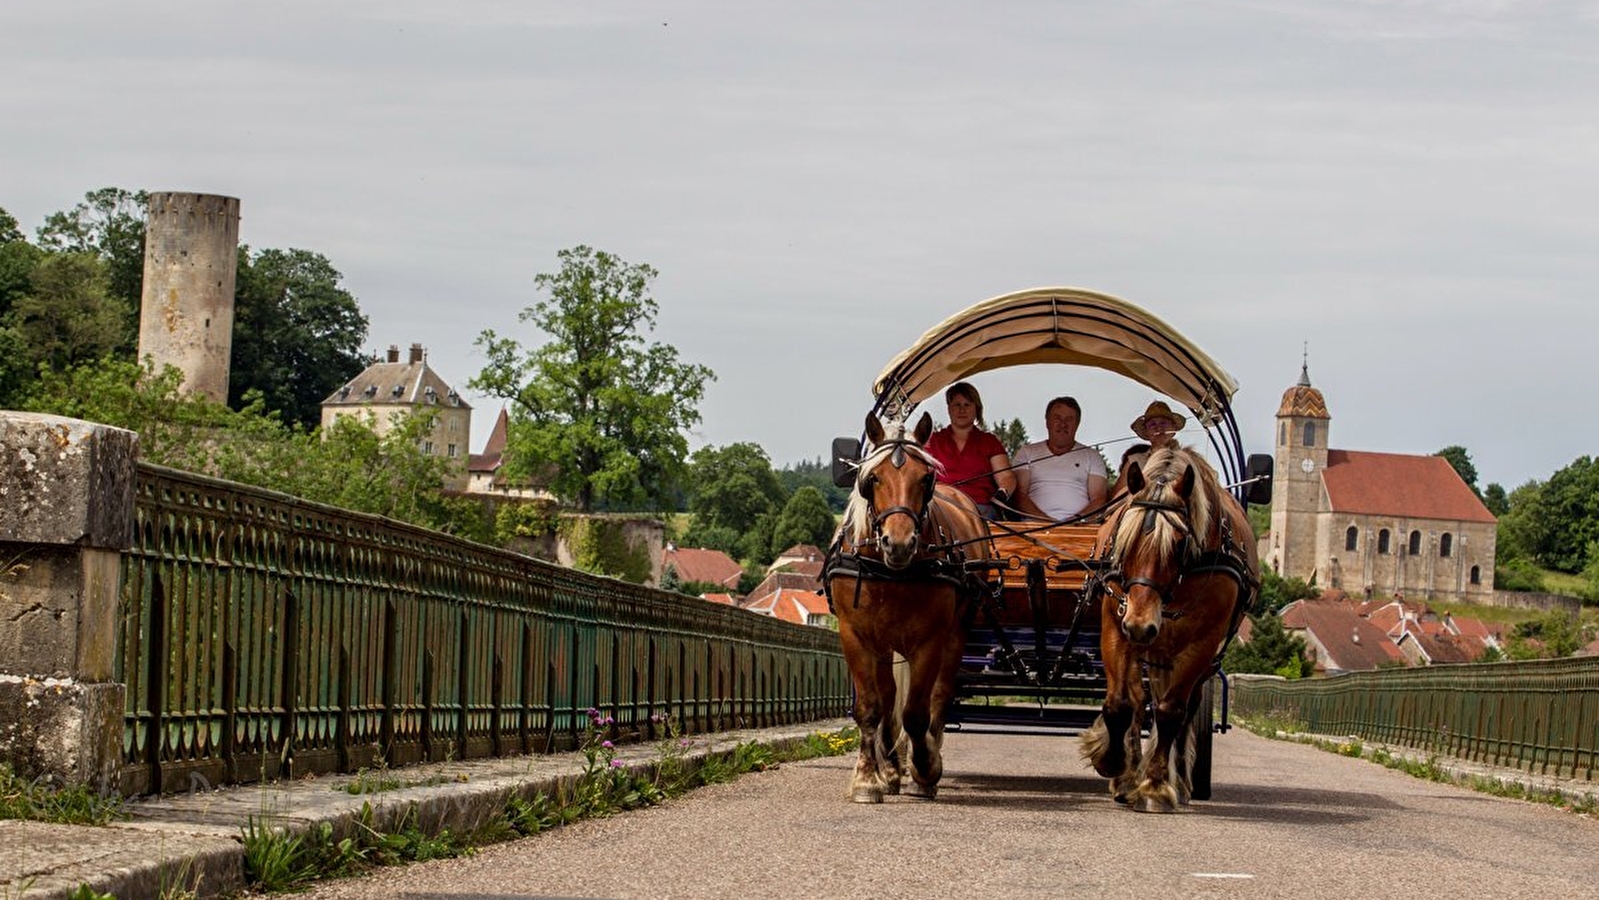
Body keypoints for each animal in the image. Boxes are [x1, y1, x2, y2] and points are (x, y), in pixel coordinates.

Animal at [825, 412, 984, 805]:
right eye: (873, 478)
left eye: (925, 478)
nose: (898, 543)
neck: (890, 570)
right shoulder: (856, 636)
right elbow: (871, 707)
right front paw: (869, 779)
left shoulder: (930, 641)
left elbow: (916, 713)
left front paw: (925, 769)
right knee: (889, 697)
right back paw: (893, 769)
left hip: (956, 634)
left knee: (939, 697)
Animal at [1080, 447, 1253, 812]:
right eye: (1126, 540)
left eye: (1179, 544)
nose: (1141, 625)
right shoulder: (1116, 626)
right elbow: (1119, 705)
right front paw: (1113, 762)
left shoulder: (1203, 642)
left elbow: (1171, 711)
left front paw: (1157, 784)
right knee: (1137, 700)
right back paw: (1128, 776)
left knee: (1183, 709)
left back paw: (1179, 782)